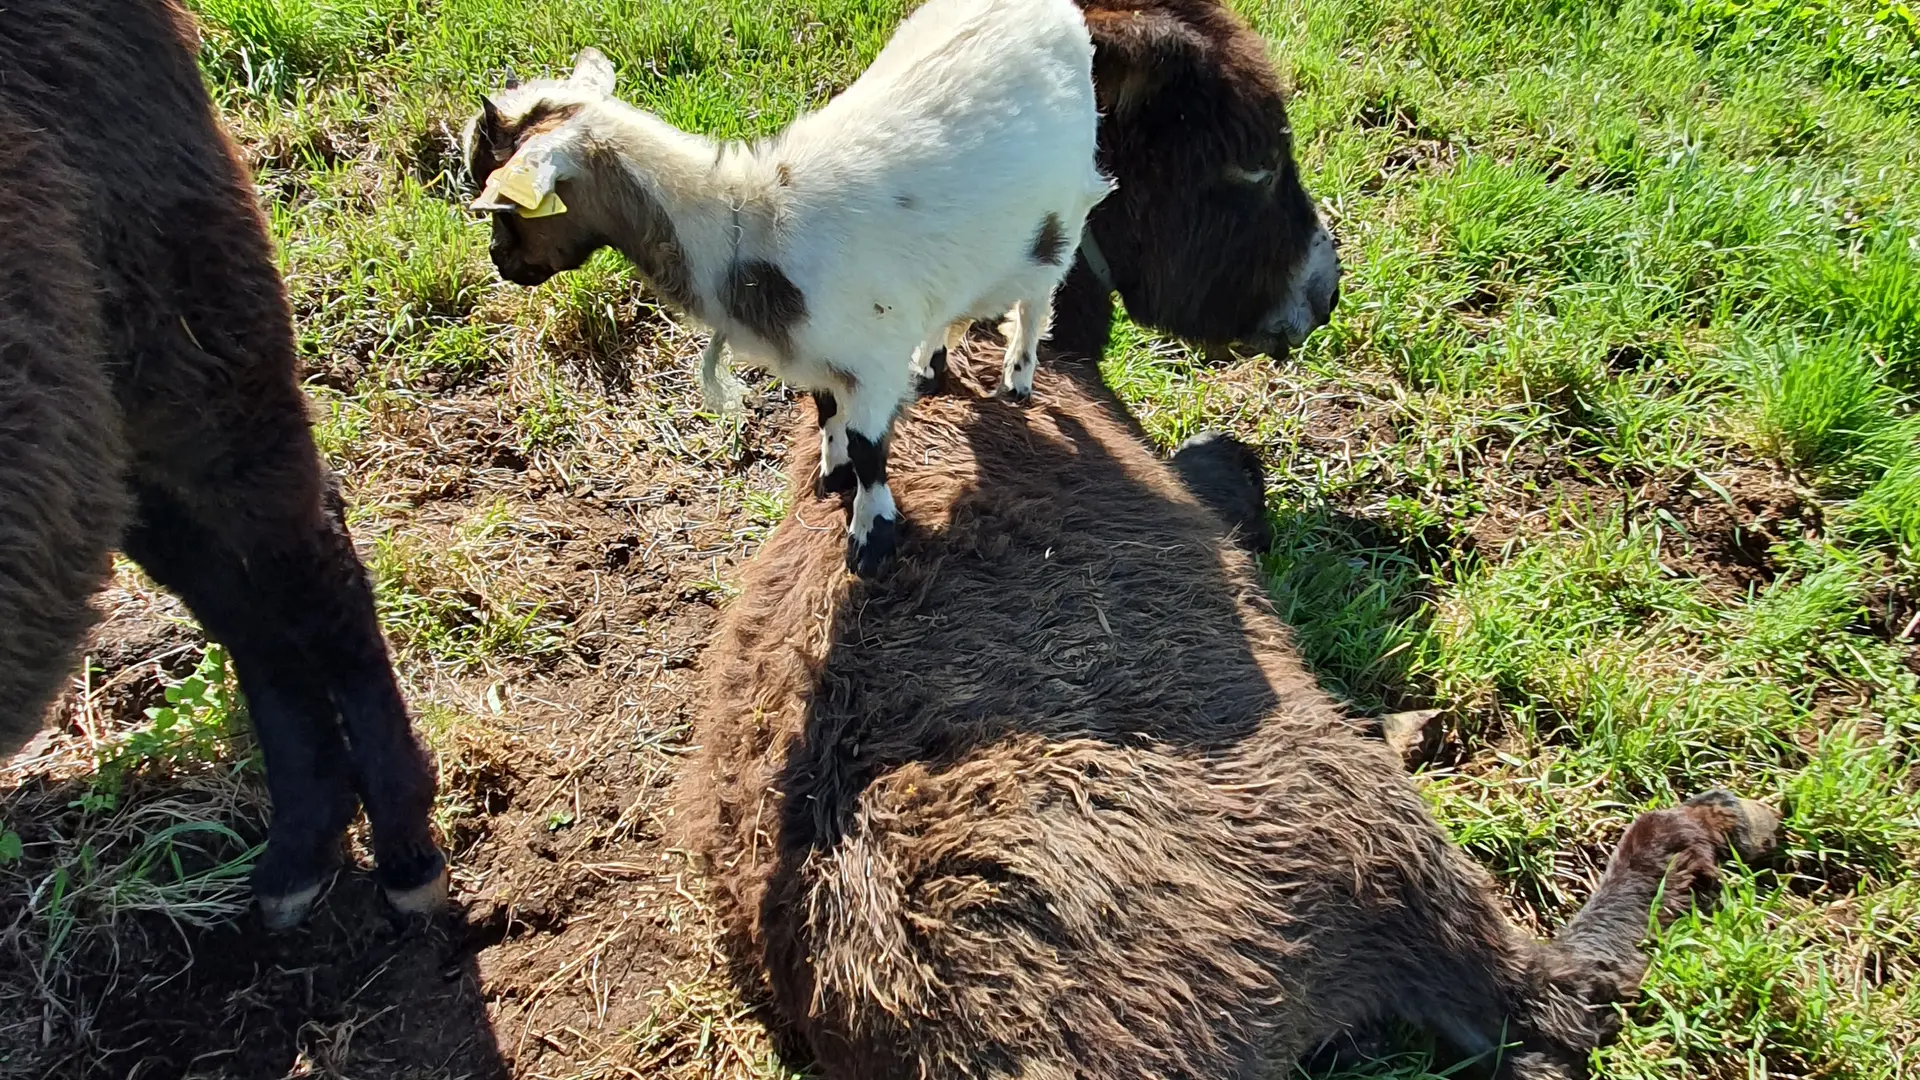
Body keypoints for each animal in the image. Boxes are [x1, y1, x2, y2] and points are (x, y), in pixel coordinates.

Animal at [460, 0, 1113, 572]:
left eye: (503, 203)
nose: (500, 262)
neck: (748, 222)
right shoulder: (816, 353)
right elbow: (826, 413)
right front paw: (832, 471)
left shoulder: (870, 358)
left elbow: (871, 446)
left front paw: (871, 536)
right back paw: (931, 363)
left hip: (1056, 220)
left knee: (1036, 300)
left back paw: (1018, 377)